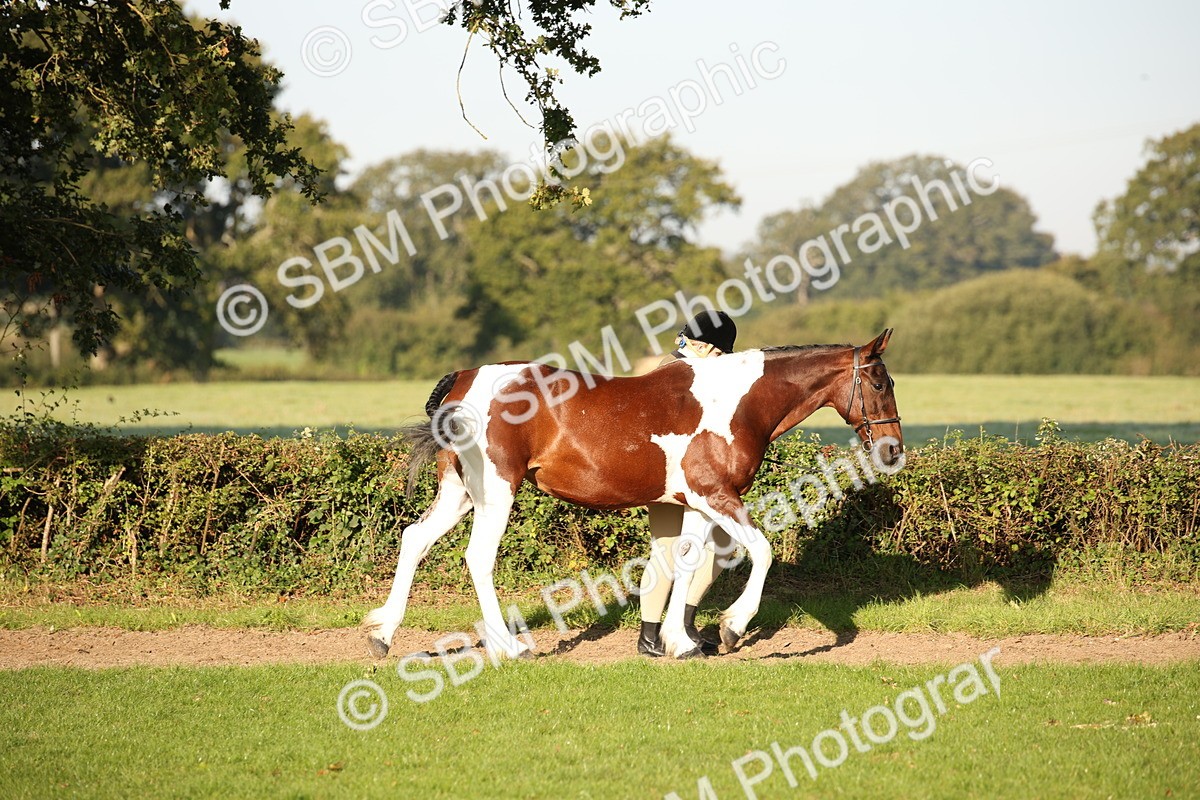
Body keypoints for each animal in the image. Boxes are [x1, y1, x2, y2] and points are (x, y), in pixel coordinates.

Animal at [364, 329, 904, 659]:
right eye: (880, 382)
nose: (893, 449)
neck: (736, 403)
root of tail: (463, 380)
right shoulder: (716, 496)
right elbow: (763, 552)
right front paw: (732, 627)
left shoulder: (695, 504)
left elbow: (686, 560)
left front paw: (680, 642)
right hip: (496, 492)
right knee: (478, 557)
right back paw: (510, 647)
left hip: (459, 491)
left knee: (414, 538)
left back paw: (382, 636)